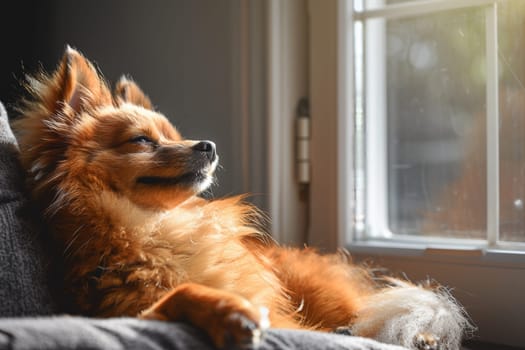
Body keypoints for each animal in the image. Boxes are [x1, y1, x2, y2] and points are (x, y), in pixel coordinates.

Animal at [13, 47, 470, 350]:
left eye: (176, 136)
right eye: (141, 140)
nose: (208, 146)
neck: (156, 228)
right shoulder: (124, 313)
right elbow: (176, 296)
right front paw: (230, 312)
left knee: (373, 316)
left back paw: (420, 337)